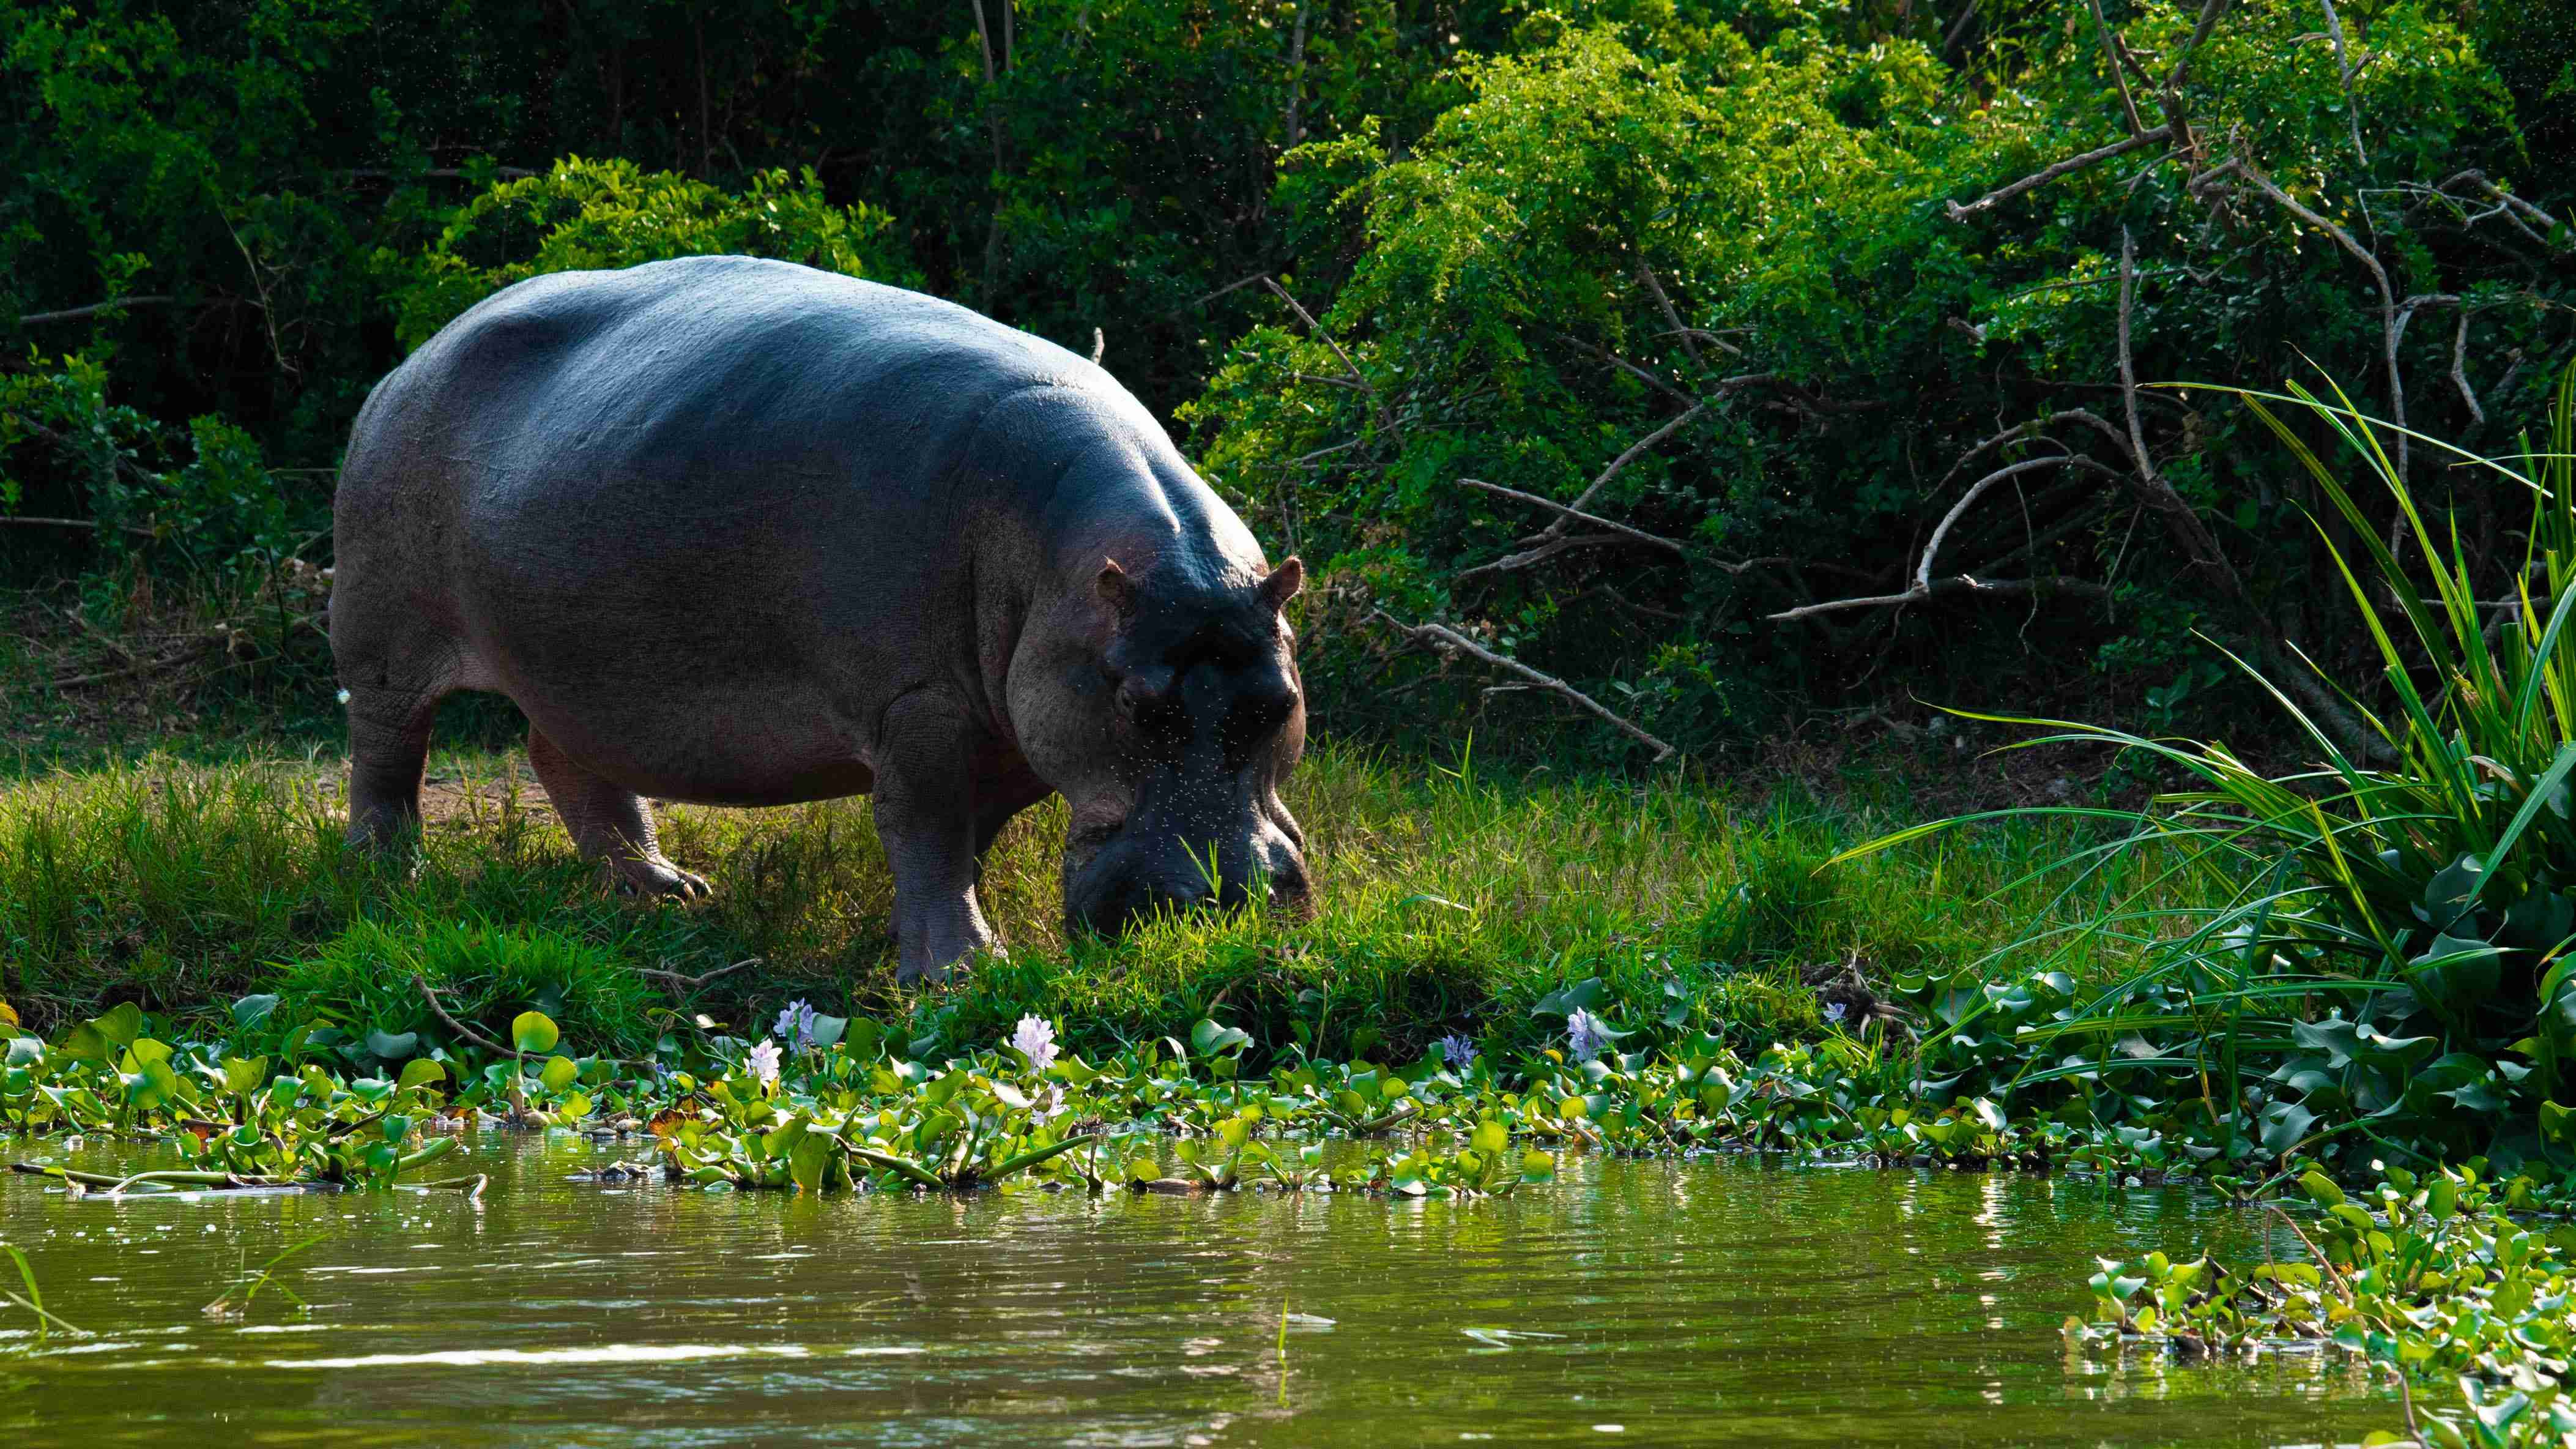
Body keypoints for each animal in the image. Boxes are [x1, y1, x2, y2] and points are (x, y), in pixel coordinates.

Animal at [329, 255, 1310, 981]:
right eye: (1137, 705)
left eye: (1282, 703)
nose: (1226, 908)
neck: (1059, 558)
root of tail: (418, 355)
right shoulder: (918, 705)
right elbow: (926, 825)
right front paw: (961, 970)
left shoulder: (1011, 723)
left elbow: (969, 839)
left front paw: (904, 943)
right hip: (382, 638)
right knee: (387, 753)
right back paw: (390, 877)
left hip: (576, 671)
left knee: (566, 761)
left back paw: (667, 890)